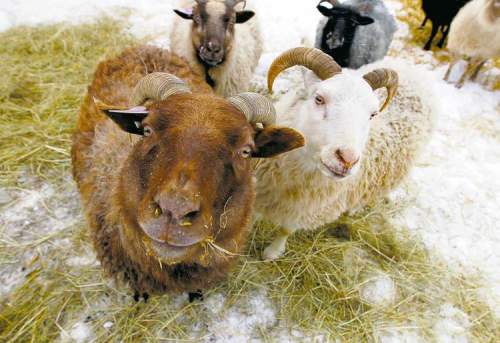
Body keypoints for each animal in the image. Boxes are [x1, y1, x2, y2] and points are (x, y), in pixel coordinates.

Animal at [254, 47, 434, 260]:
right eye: (319, 99)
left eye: (372, 114)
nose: (347, 160)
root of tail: (411, 69)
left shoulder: (305, 209)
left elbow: (286, 229)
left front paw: (272, 252)